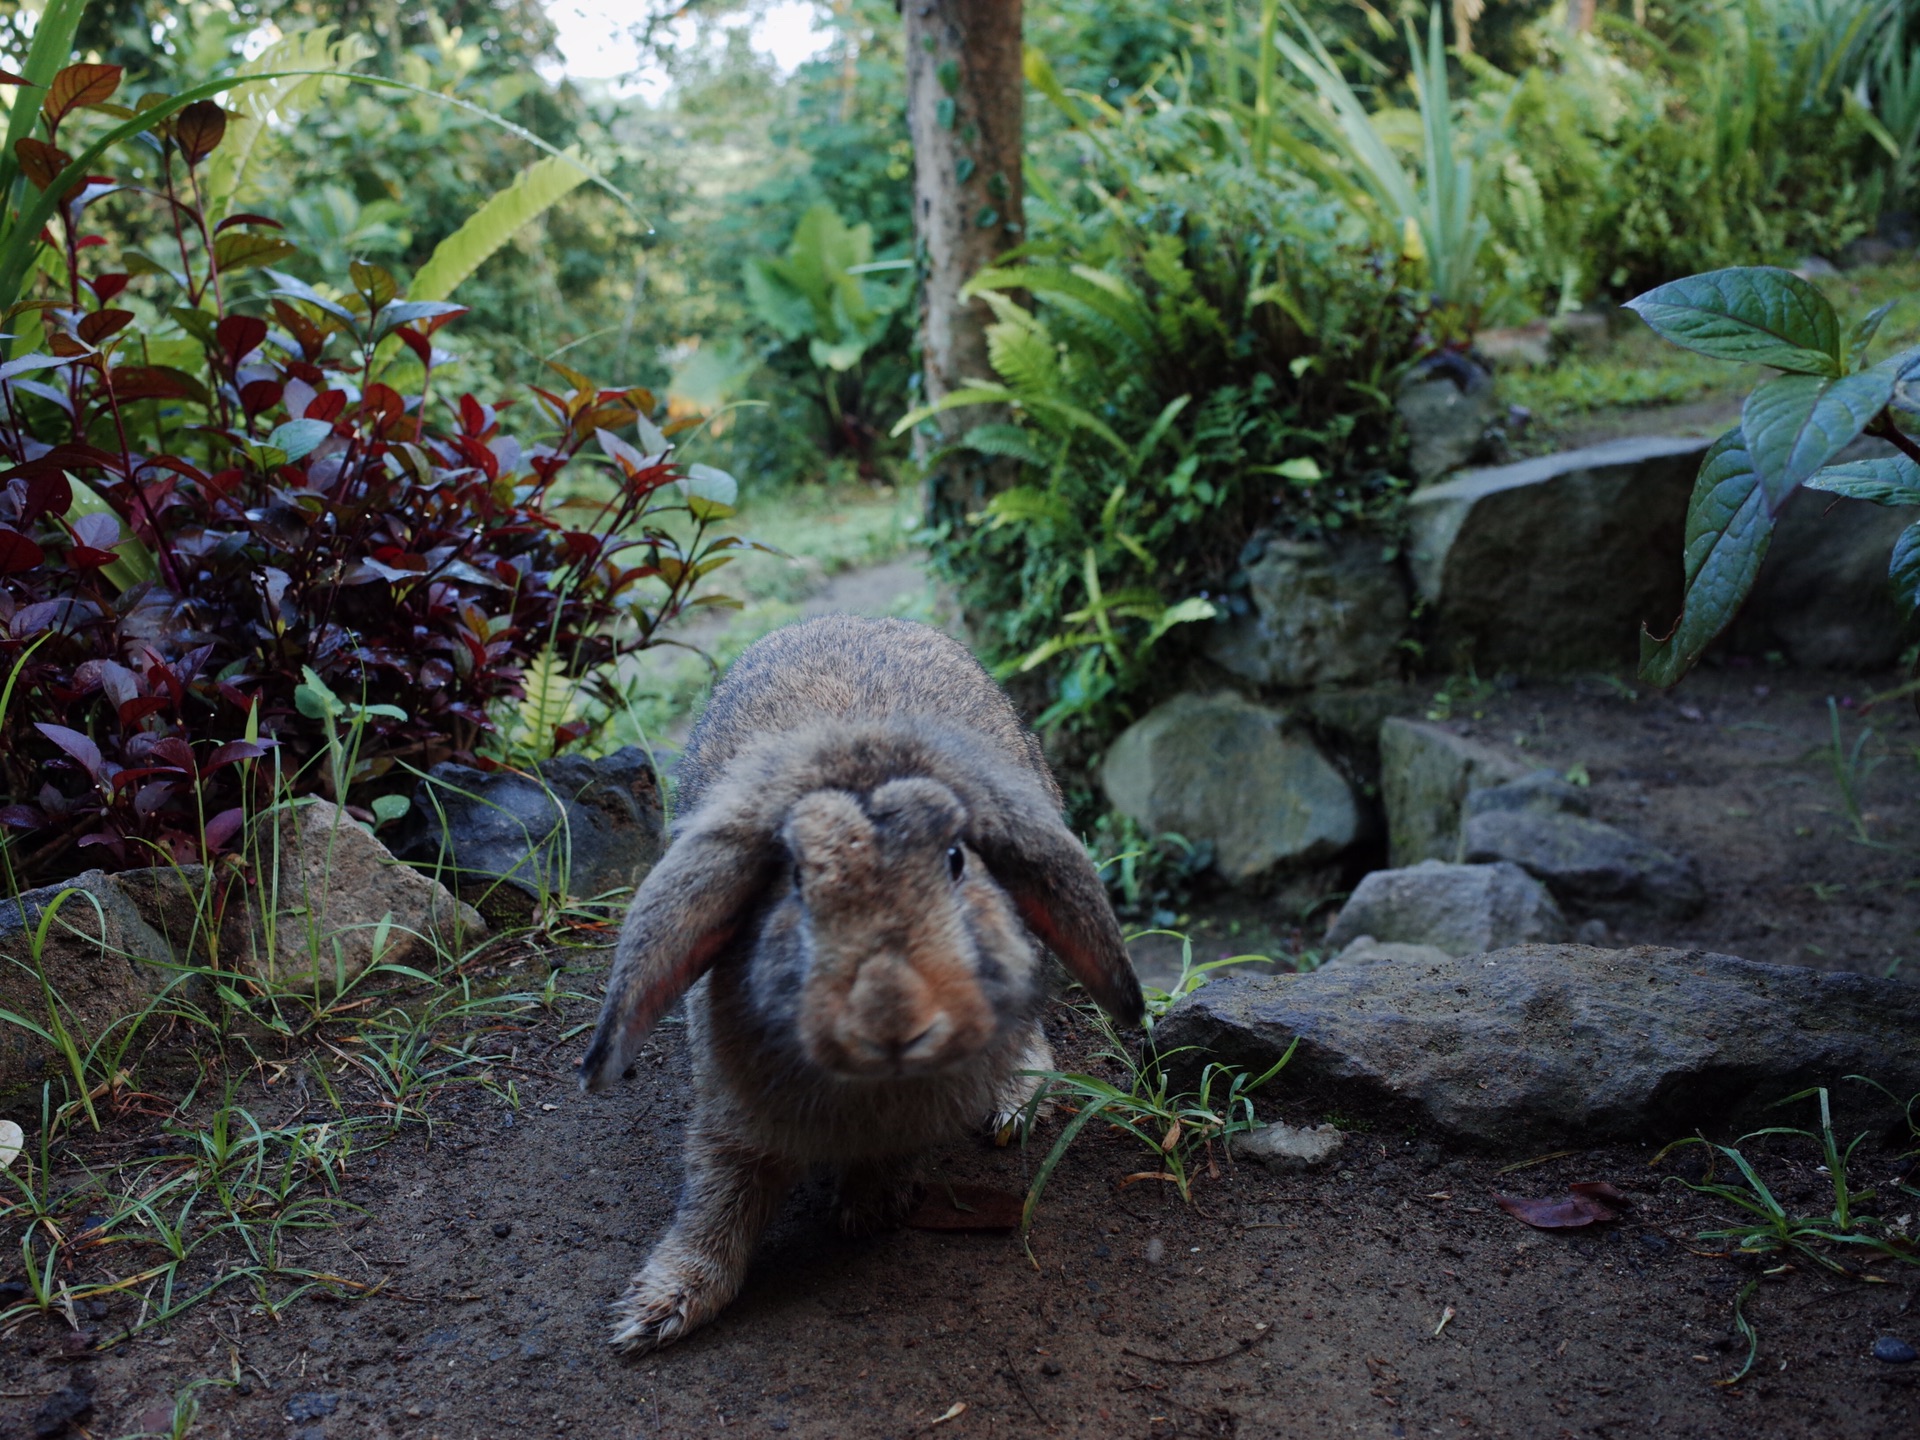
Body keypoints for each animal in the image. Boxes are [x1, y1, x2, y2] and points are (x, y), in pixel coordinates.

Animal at [572, 610, 1136, 1351]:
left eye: (955, 859)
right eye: (795, 878)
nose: (891, 1015)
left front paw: (868, 1206)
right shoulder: (732, 1115)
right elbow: (719, 1194)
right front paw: (660, 1308)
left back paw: (1012, 1108)